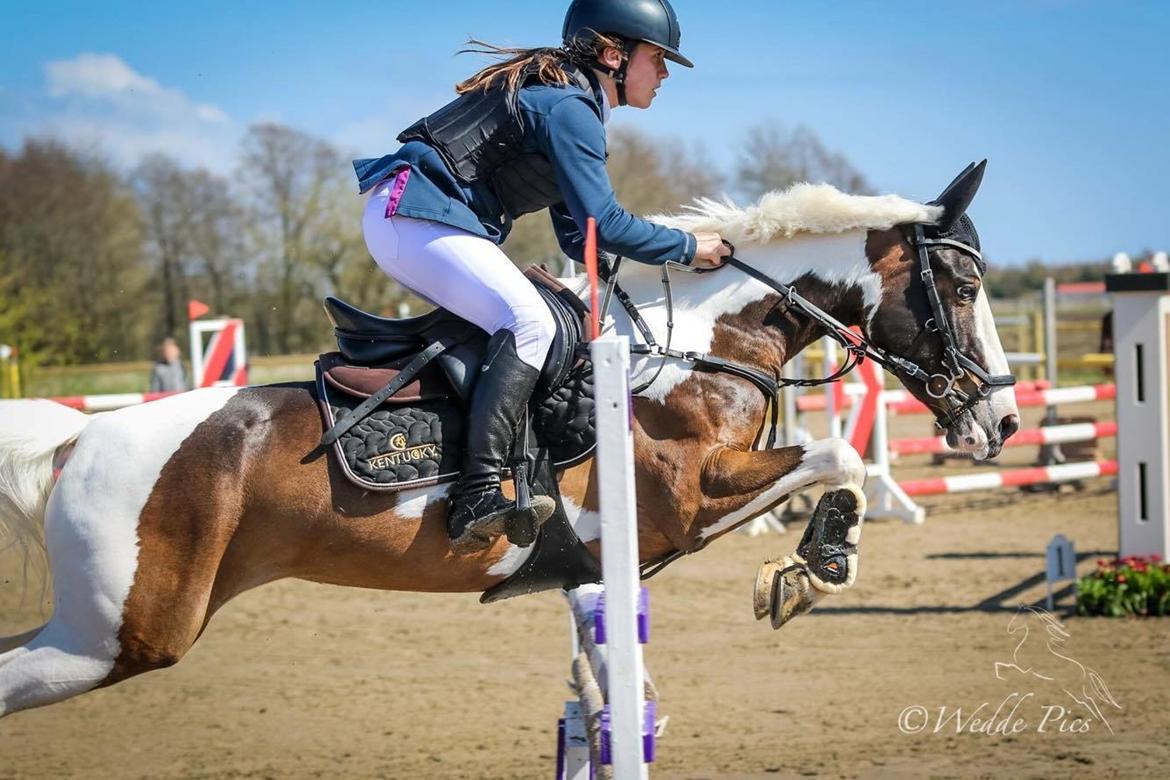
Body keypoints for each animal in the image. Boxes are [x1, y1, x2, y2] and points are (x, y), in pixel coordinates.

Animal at [0, 161, 1019, 718]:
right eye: (964, 289)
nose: (1003, 420)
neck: (694, 344)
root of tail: (80, 442)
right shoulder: (684, 501)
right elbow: (834, 456)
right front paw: (811, 567)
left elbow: (830, 463)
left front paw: (817, 563)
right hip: (124, 634)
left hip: (104, 630)